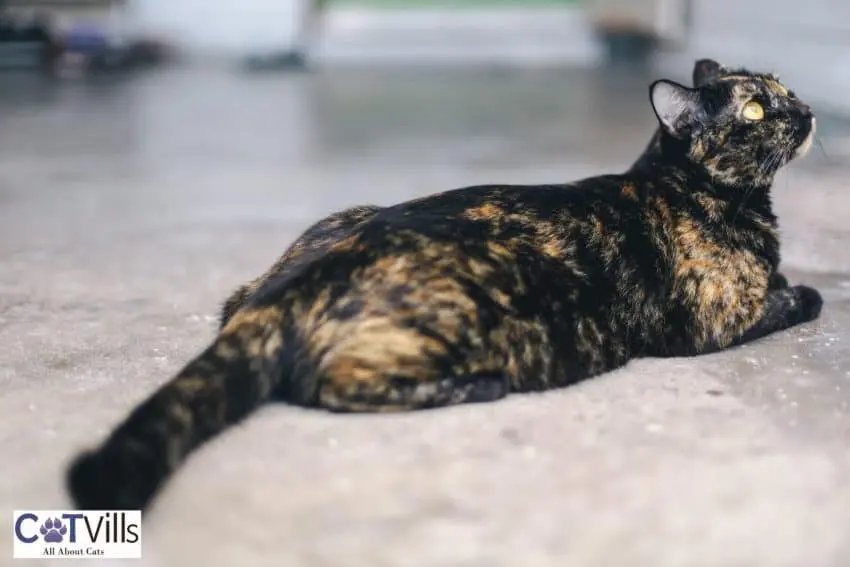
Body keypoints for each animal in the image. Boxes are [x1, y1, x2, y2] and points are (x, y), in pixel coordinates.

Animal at [68, 60, 820, 512]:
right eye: (756, 111)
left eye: (787, 92)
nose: (810, 111)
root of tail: (285, 292)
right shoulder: (714, 322)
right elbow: (797, 296)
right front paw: (803, 289)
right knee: (332, 385)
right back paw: (478, 385)